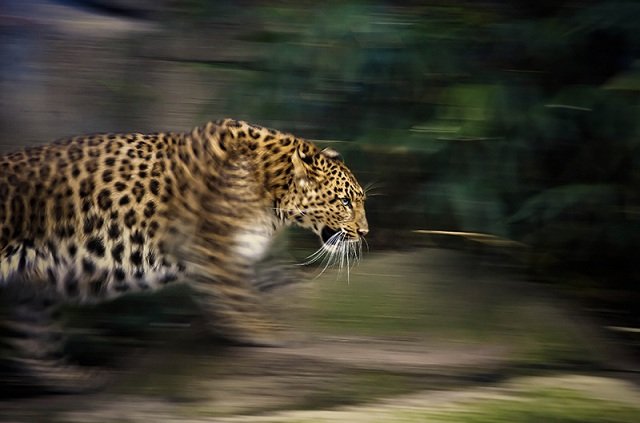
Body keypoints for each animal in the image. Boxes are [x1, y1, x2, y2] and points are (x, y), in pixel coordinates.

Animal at [0, 117, 368, 392]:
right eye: (345, 201)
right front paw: (267, 332)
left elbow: (283, 283)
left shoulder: (255, 253)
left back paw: (77, 380)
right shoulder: (215, 252)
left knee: (32, 340)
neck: (271, 189)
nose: (365, 232)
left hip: (32, 289)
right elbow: (239, 301)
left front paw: (299, 316)